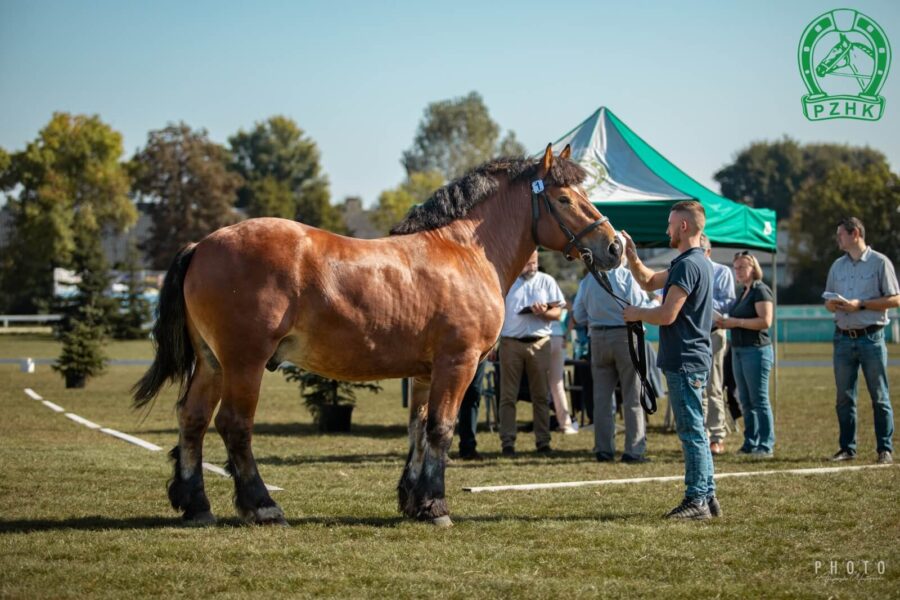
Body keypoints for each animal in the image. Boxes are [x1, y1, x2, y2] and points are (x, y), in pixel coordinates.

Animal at [134, 144, 624, 524]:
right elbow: (442, 429)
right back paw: (263, 507)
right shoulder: (458, 363)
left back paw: (197, 505)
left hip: (212, 363)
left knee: (193, 419)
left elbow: (418, 429)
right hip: (244, 363)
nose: (615, 246)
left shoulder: (427, 372)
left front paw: (413, 500)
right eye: (564, 198)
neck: (464, 250)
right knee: (234, 425)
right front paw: (436, 505)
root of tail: (202, 245)